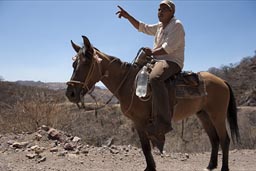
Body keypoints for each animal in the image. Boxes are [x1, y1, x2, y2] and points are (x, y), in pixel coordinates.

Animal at [65, 35, 240, 170]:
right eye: (73, 64)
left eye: (86, 63)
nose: (70, 94)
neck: (129, 83)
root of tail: (222, 81)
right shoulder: (137, 122)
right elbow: (145, 146)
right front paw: (151, 166)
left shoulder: (141, 121)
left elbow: (146, 147)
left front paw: (150, 167)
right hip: (203, 115)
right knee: (214, 139)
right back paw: (210, 165)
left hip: (218, 115)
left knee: (224, 139)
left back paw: (224, 168)